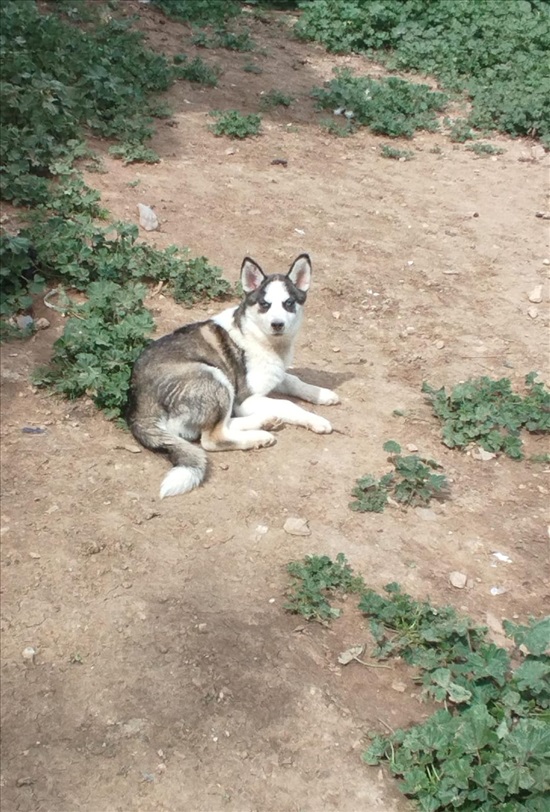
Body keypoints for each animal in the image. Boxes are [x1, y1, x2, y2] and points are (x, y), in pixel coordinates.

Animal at [127, 254, 340, 498]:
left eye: (289, 303)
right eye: (264, 305)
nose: (277, 324)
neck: (264, 339)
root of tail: (139, 408)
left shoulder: (272, 378)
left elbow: (294, 381)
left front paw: (322, 394)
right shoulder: (244, 399)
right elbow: (288, 404)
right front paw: (316, 420)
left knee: (225, 425)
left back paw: (265, 421)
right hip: (216, 379)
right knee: (212, 438)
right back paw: (259, 436)